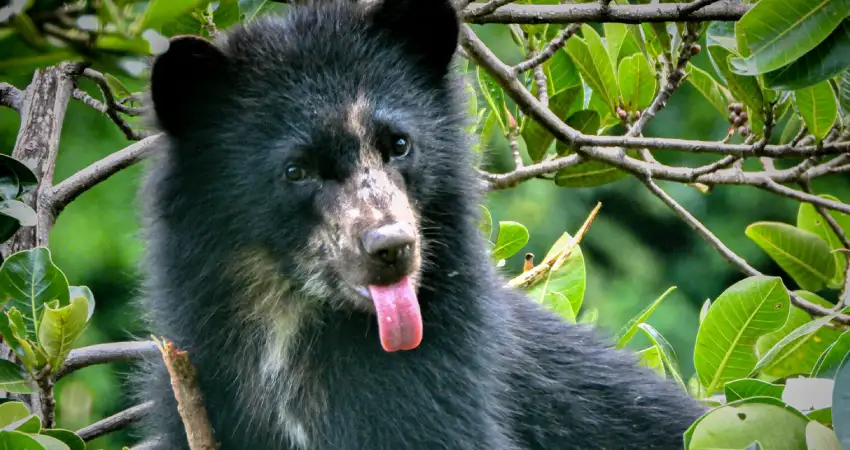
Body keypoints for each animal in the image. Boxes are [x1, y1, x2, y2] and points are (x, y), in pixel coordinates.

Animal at [129, 0, 704, 448]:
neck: (289, 327)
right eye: (296, 170)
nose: (392, 247)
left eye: (400, 144)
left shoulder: (439, 389)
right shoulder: (199, 391)